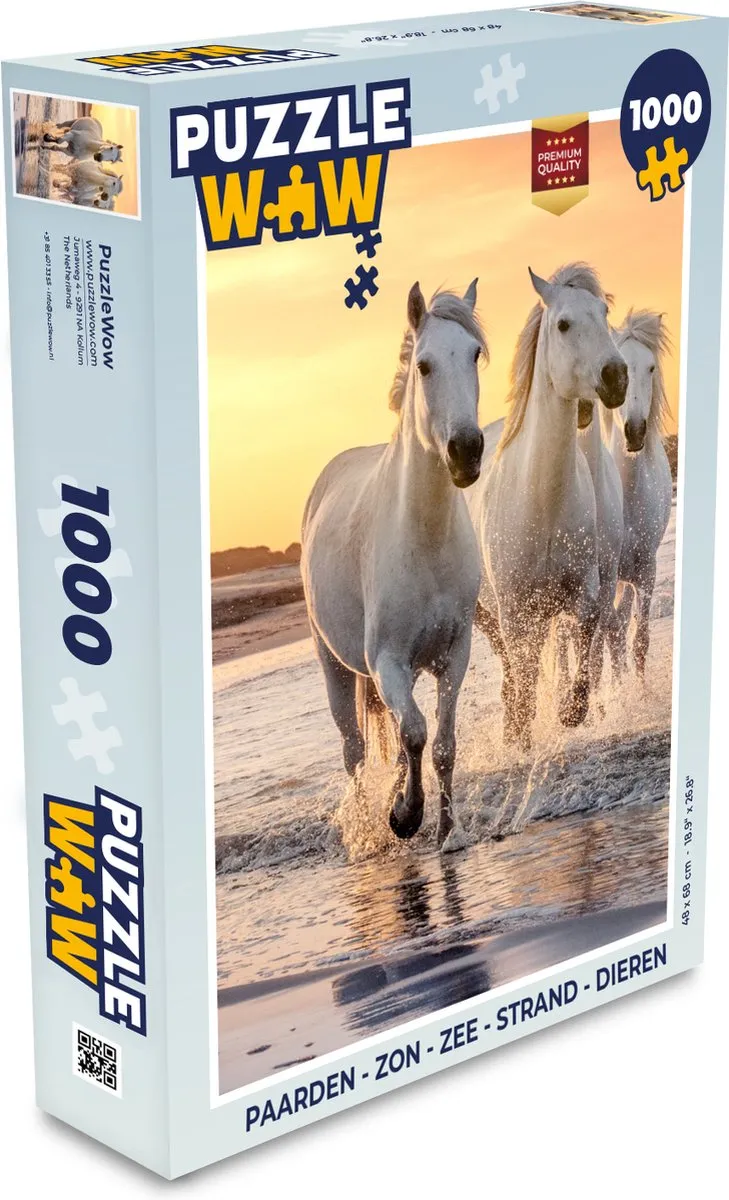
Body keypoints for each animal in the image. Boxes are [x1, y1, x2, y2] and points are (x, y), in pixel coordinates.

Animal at [301, 281, 487, 851]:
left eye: (475, 354)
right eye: (424, 366)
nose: (467, 451)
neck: (423, 540)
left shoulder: (454, 654)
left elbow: (442, 743)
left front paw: (446, 830)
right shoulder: (388, 662)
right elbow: (415, 733)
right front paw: (405, 816)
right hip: (335, 665)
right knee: (355, 751)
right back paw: (368, 827)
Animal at [466, 263, 627, 750]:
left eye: (604, 313)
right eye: (563, 324)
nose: (616, 377)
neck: (542, 503)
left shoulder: (583, 590)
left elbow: (587, 634)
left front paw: (572, 711)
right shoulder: (515, 611)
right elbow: (524, 669)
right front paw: (521, 731)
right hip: (487, 614)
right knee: (512, 665)